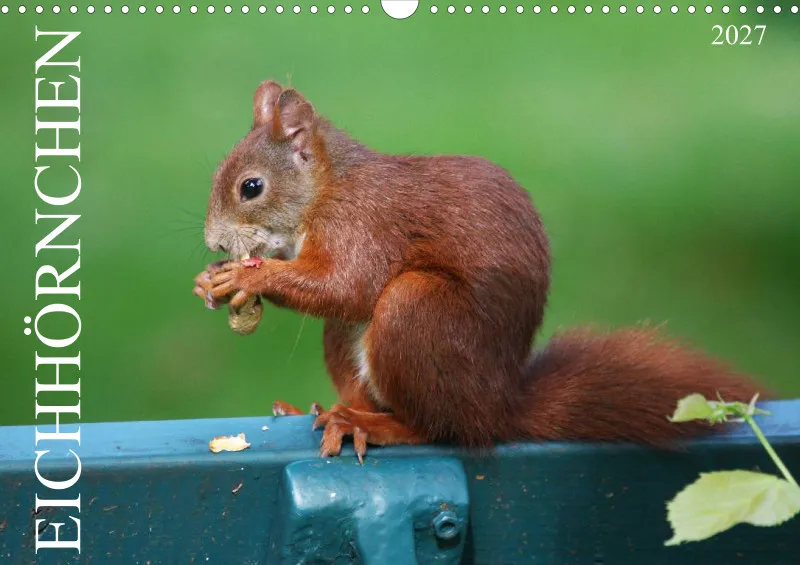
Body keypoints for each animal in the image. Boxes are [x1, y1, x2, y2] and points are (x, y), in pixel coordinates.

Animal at [193, 79, 761, 462]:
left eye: (251, 187)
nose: (214, 242)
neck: (328, 188)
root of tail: (497, 408)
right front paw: (212, 279)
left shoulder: (363, 223)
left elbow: (348, 286)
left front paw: (249, 276)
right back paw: (328, 410)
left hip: (416, 310)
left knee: (440, 428)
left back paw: (374, 426)